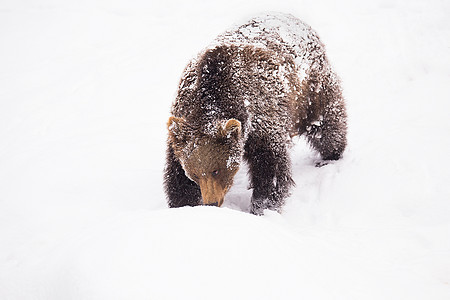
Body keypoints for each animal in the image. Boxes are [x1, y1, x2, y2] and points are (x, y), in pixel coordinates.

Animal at [163, 12, 346, 214]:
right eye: (194, 173)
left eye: (216, 170)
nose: (211, 202)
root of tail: (294, 18)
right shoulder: (181, 124)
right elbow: (177, 178)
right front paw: (185, 204)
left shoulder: (262, 117)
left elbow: (270, 167)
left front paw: (263, 206)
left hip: (311, 91)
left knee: (326, 125)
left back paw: (331, 155)